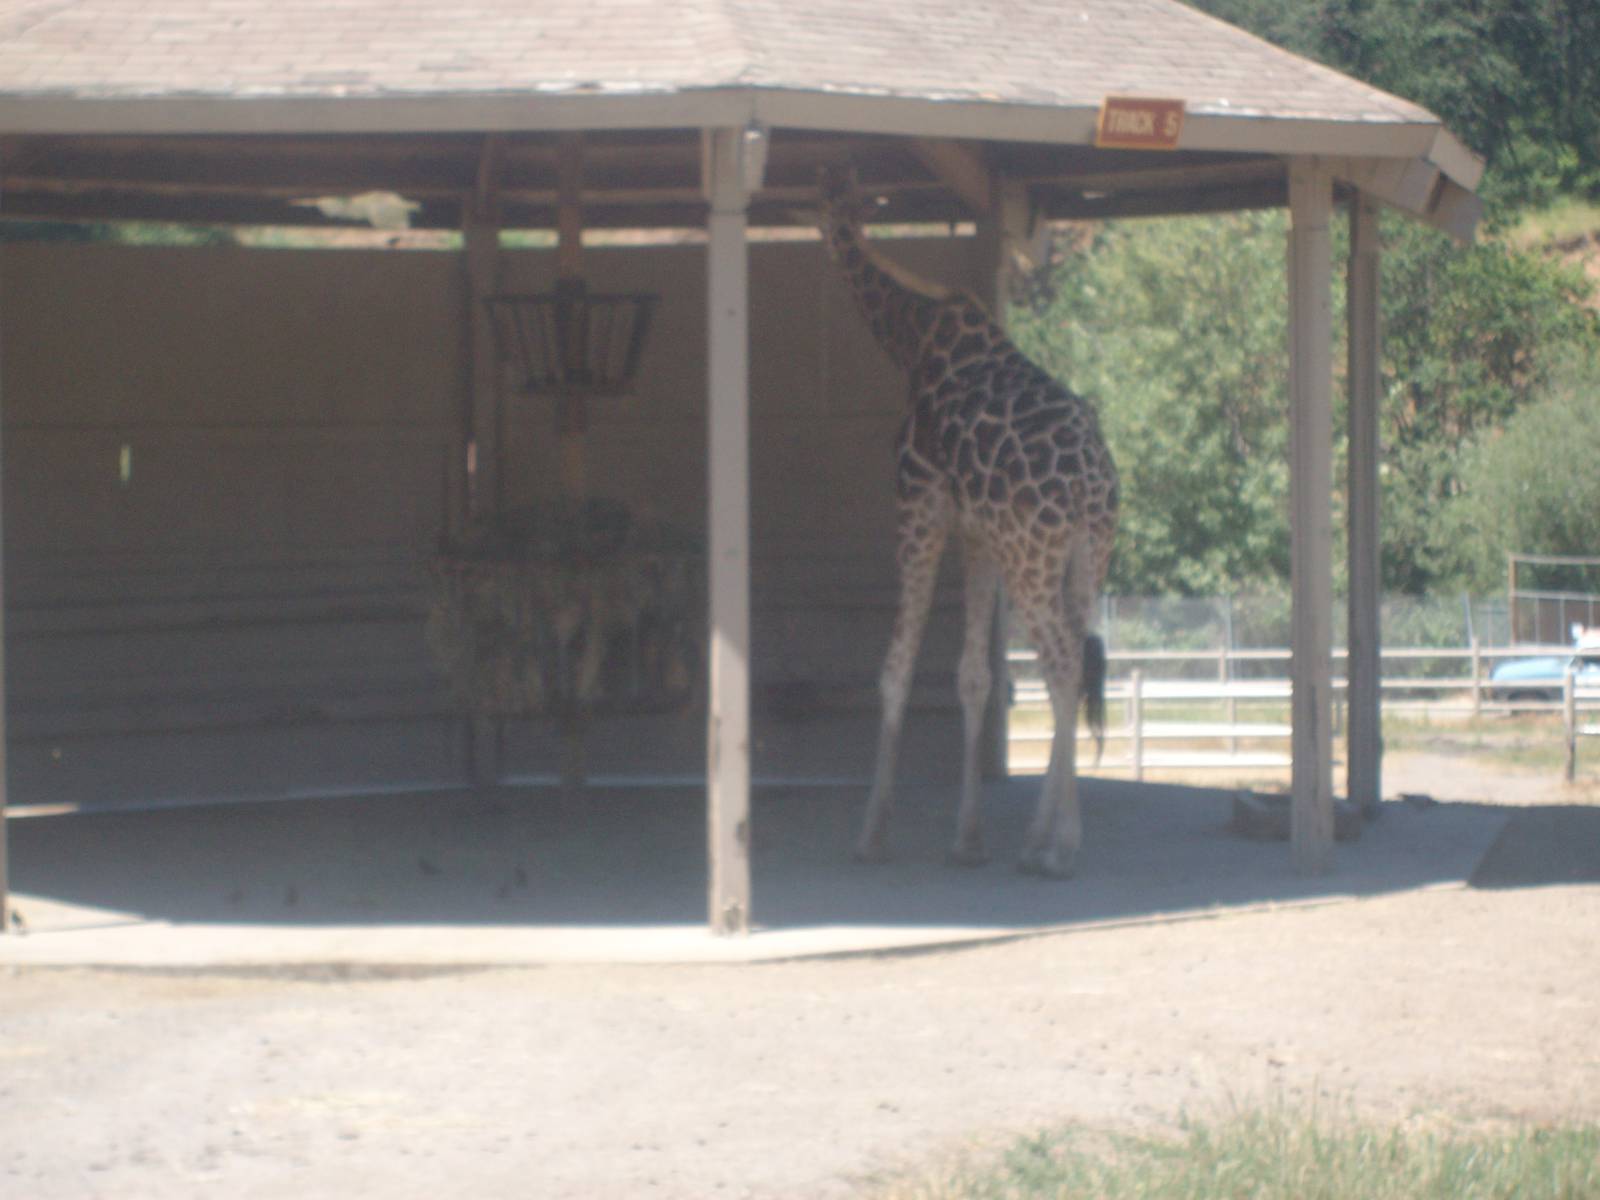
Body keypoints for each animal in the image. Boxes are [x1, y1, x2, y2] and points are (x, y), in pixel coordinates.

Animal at [818, 167, 1118, 878]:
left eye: (833, 196)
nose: (826, 221)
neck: (912, 338)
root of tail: (1092, 483)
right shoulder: (979, 535)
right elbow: (974, 677)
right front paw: (968, 839)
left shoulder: (919, 508)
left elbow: (896, 668)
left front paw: (871, 834)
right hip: (1086, 556)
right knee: (1073, 659)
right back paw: (1039, 838)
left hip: (1032, 558)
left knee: (1063, 665)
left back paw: (1058, 846)